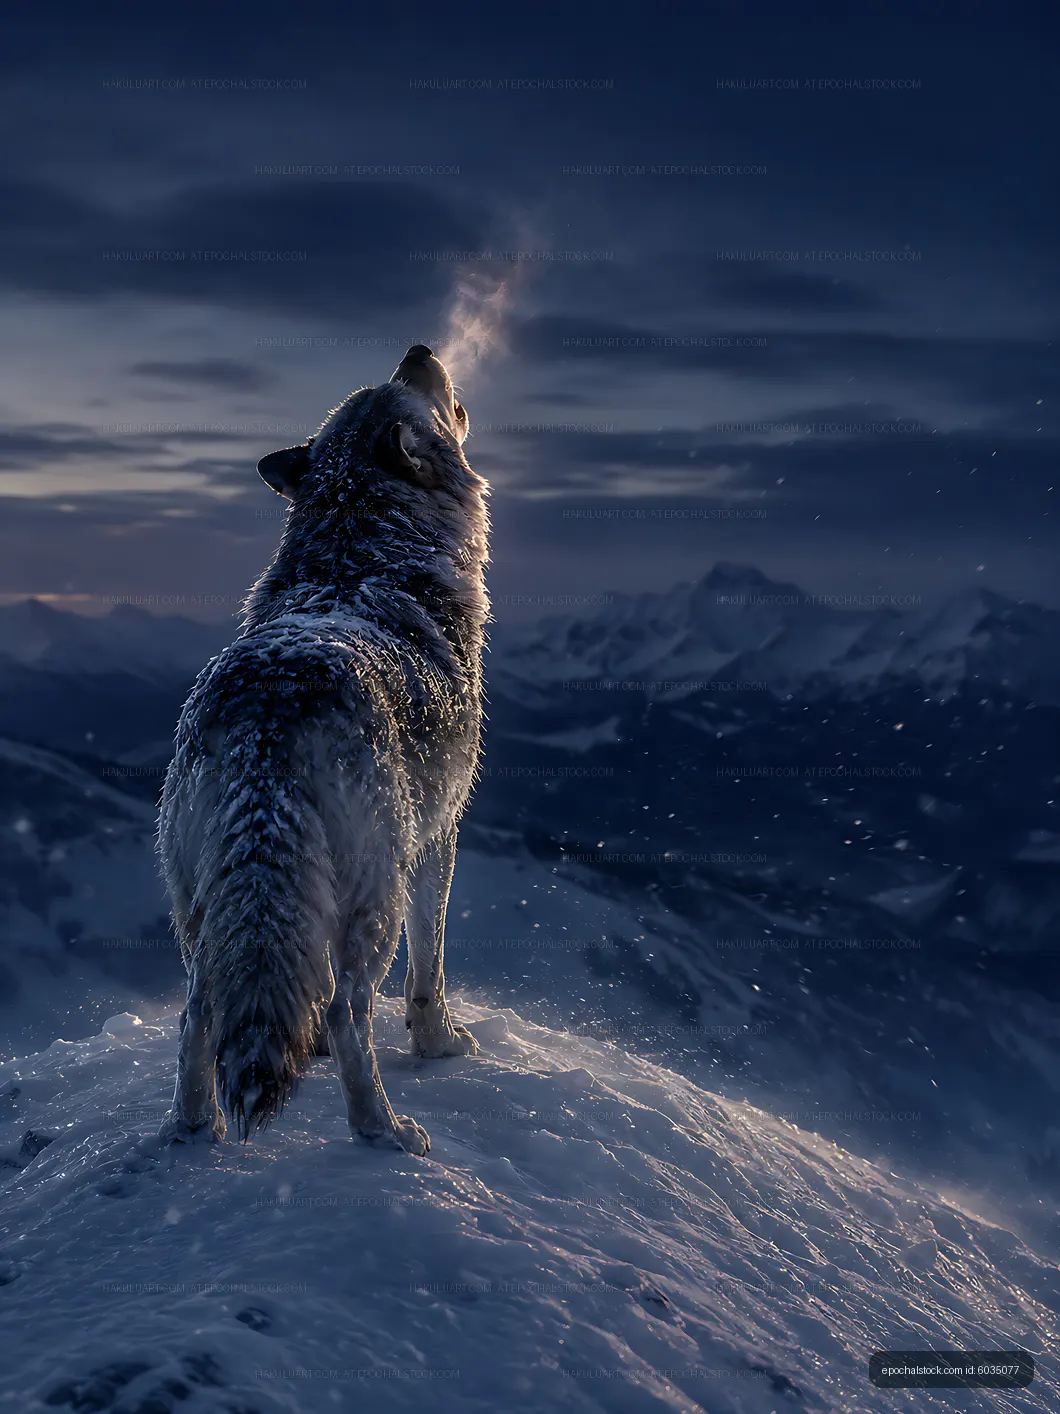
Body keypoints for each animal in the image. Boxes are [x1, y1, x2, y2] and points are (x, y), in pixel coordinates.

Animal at [156, 346, 488, 1156]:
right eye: (406, 389)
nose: (418, 350)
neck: (360, 552)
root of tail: (267, 719)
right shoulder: (442, 833)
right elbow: (430, 969)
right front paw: (439, 1046)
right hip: (374, 899)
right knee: (344, 1012)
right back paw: (386, 1133)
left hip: (202, 913)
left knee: (195, 1017)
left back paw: (194, 1133)